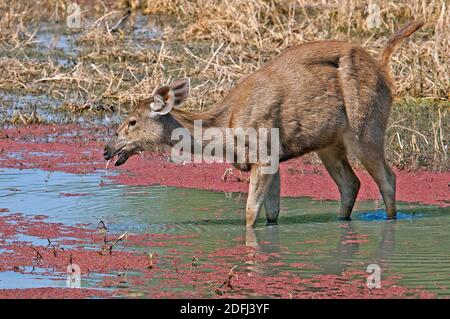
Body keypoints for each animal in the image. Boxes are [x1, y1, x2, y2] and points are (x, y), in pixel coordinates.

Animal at [103, 20, 424, 228]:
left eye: (131, 121)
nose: (107, 148)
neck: (227, 134)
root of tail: (381, 68)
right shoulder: (273, 159)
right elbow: (272, 214)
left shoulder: (264, 154)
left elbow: (249, 213)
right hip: (329, 143)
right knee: (351, 184)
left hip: (366, 128)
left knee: (387, 179)